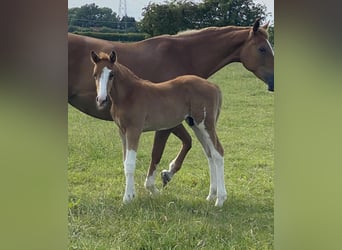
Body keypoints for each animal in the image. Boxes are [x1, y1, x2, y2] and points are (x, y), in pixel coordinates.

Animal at [68, 18, 274, 189]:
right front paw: (156, 181)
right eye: (262, 49)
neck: (184, 54)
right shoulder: (166, 122)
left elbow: (187, 143)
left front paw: (166, 174)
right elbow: (159, 151)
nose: (273, 82)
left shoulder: (179, 119)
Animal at [90, 51, 227, 207]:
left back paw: (220, 199)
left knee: (218, 153)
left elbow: (130, 164)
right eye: (95, 74)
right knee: (209, 154)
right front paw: (131, 195)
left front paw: (127, 198)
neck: (129, 95)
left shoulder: (134, 130)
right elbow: (125, 163)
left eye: (111, 74)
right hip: (196, 125)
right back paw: (211, 196)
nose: (101, 100)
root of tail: (214, 86)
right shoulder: (122, 132)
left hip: (206, 124)